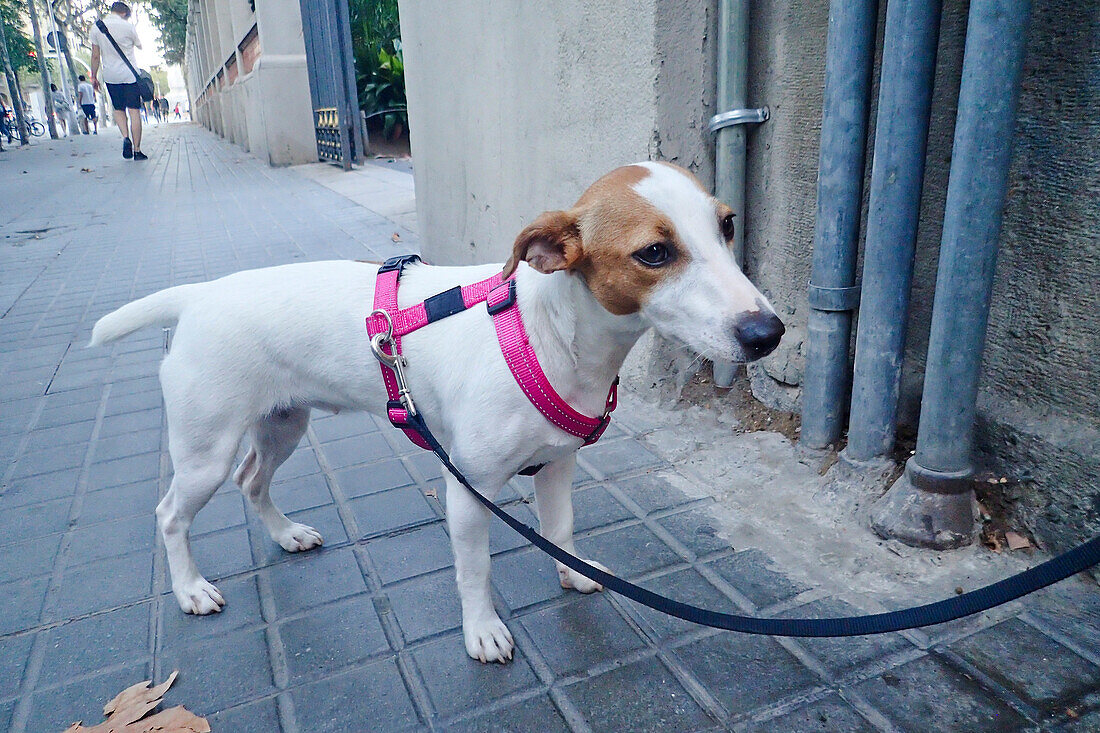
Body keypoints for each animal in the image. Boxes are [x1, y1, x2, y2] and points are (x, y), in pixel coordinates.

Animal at [92, 161, 783, 660]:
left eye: (727, 225)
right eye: (654, 253)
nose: (768, 333)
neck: (546, 337)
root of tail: (199, 295)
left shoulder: (558, 466)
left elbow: (560, 531)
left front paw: (574, 573)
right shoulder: (469, 489)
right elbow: (475, 572)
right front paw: (482, 631)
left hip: (283, 425)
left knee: (252, 480)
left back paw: (286, 534)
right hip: (204, 450)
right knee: (170, 515)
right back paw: (190, 589)